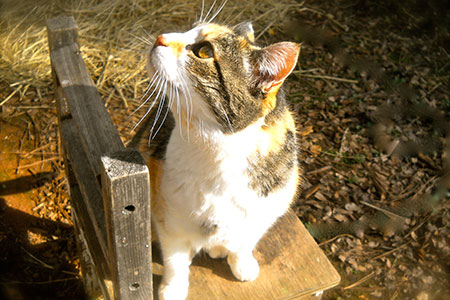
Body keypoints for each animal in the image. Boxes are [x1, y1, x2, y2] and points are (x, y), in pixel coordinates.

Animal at [130, 17, 298, 300]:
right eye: (188, 29)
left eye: (204, 51)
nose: (160, 37)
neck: (218, 153)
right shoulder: (169, 217)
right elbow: (175, 259)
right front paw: (173, 289)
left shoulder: (267, 209)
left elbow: (245, 243)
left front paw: (242, 265)